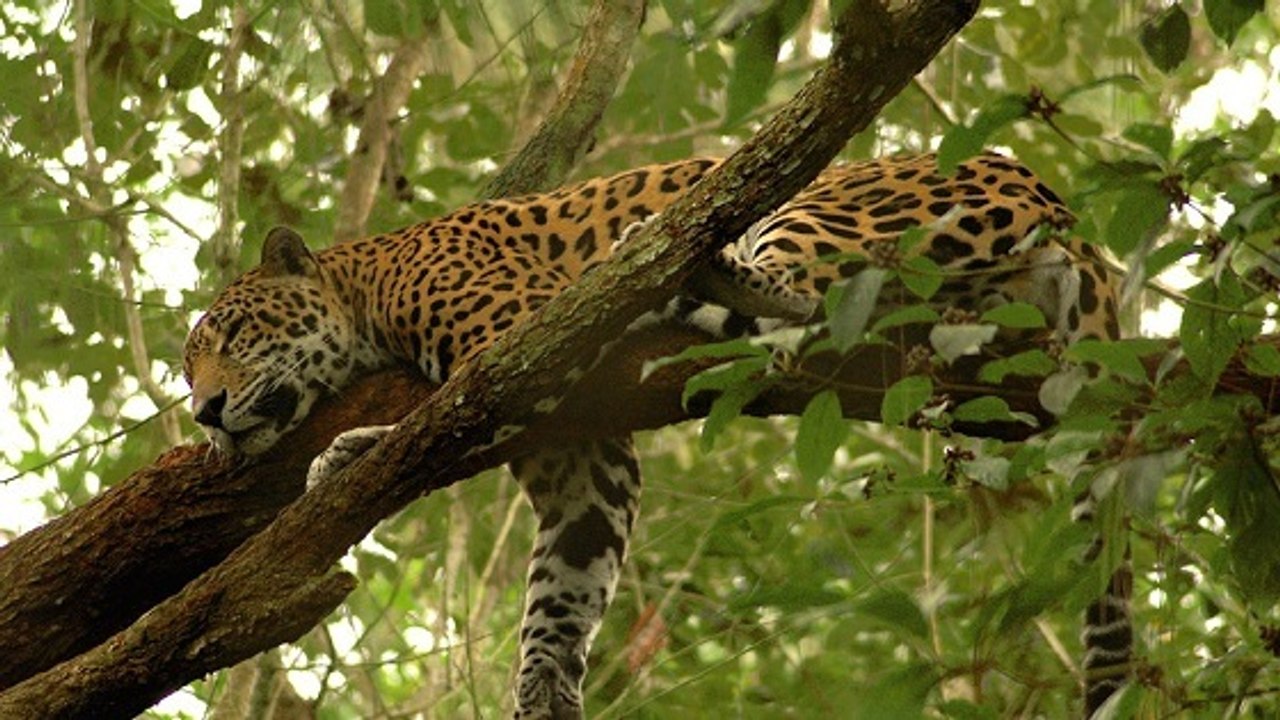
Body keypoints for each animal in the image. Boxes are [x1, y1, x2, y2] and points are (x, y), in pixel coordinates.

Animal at [183, 153, 1126, 719]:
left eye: (232, 335)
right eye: (187, 370)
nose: (203, 412)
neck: (365, 284)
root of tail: (1068, 213)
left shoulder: (522, 338)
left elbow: (446, 416)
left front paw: (352, 451)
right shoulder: (583, 464)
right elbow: (564, 586)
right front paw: (543, 691)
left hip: (825, 207)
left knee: (803, 295)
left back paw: (669, 257)